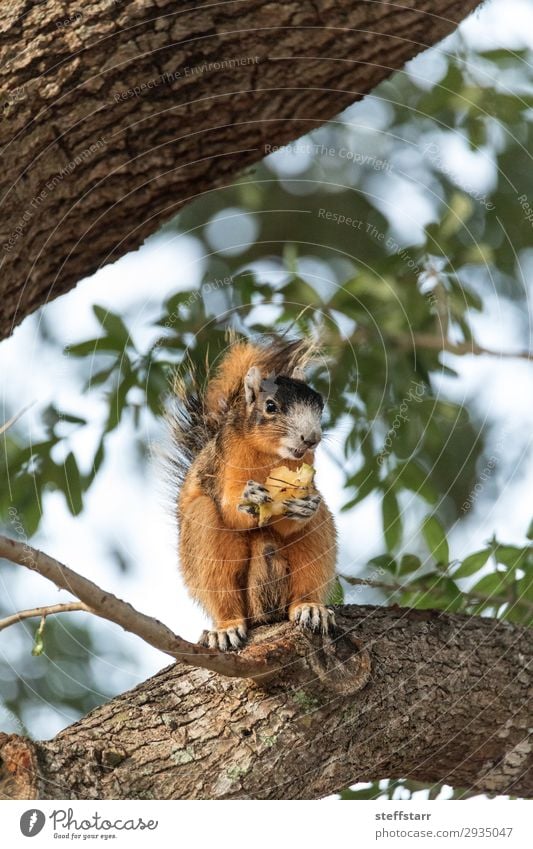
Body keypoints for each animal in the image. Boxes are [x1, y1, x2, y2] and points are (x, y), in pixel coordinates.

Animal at [169, 334, 336, 652]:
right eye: (271, 406)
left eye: (320, 407)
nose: (311, 439)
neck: (269, 455)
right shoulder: (228, 461)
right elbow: (230, 510)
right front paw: (249, 499)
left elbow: (287, 524)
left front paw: (304, 507)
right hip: (203, 537)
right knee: (221, 587)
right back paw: (226, 627)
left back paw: (310, 607)